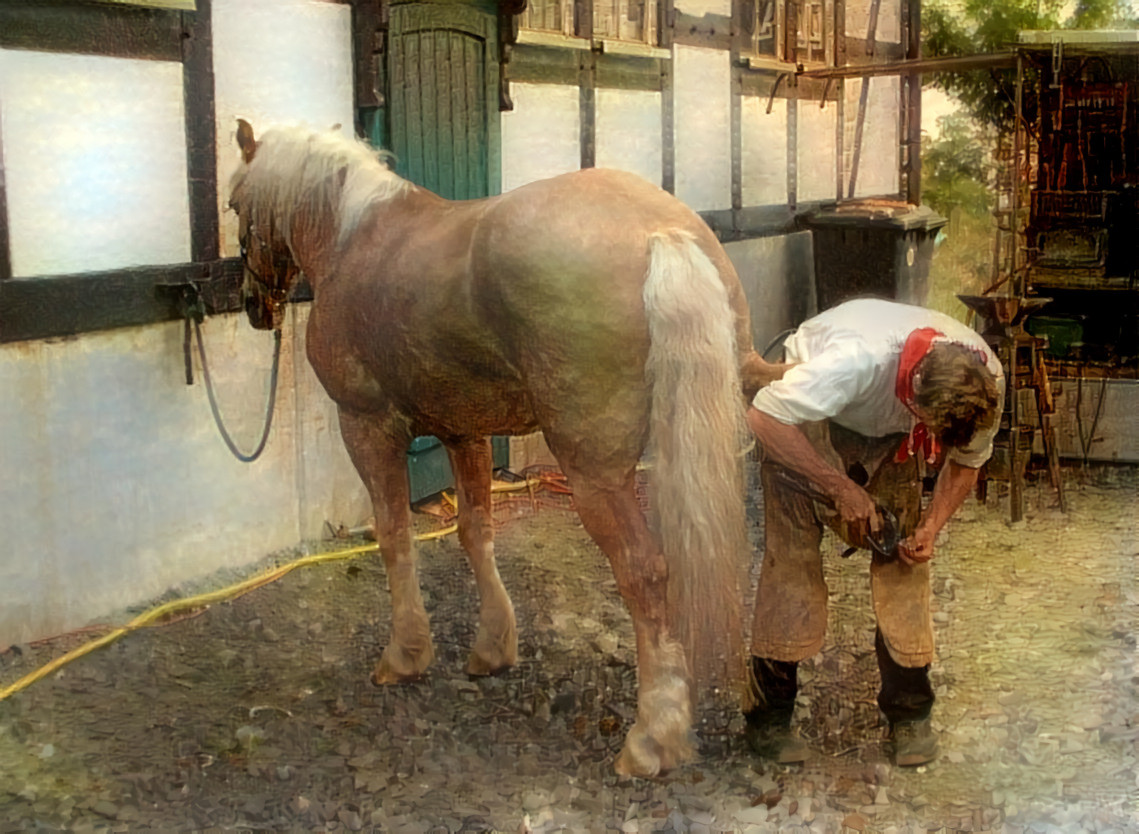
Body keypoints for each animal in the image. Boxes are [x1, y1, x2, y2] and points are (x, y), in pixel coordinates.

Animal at [227, 119, 788, 774]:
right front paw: (493, 646)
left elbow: (394, 537)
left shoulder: (366, 427)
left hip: (593, 476)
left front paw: (405, 654)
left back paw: (652, 737)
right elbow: (475, 531)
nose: (254, 306)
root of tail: (660, 232)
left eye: (235, 205)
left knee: (643, 572)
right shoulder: (463, 431)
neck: (353, 235)